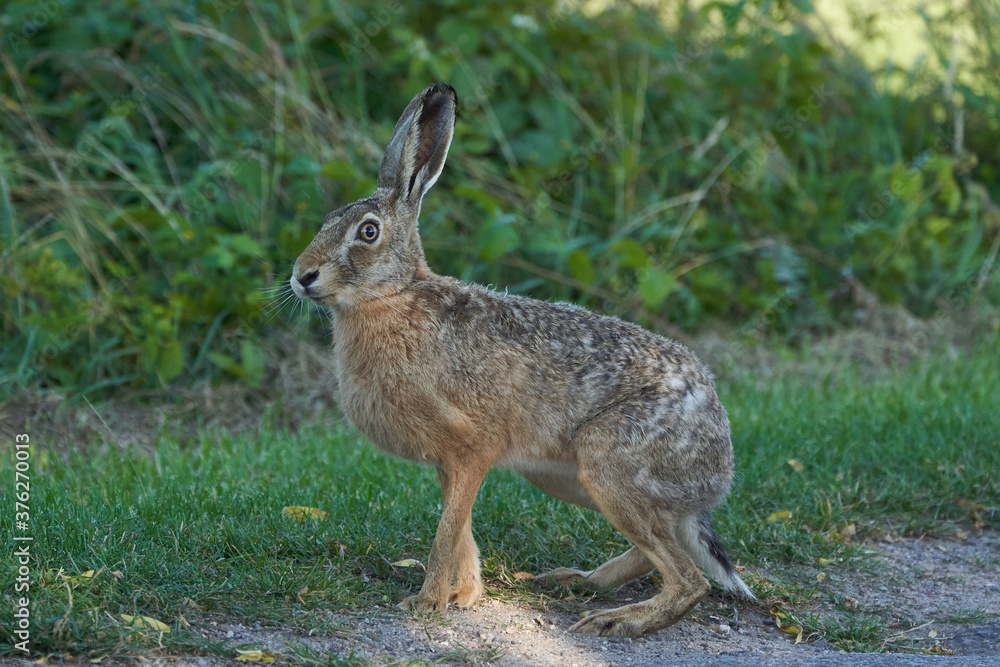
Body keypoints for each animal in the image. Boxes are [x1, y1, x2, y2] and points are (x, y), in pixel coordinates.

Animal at [290, 83, 755, 637]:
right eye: (325, 222)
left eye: (367, 232)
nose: (302, 276)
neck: (392, 296)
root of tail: (720, 462)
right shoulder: (452, 462)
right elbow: (460, 526)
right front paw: (465, 595)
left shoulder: (472, 446)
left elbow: (446, 531)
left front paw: (425, 603)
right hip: (568, 478)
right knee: (662, 552)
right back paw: (575, 580)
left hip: (609, 462)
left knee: (689, 580)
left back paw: (616, 622)